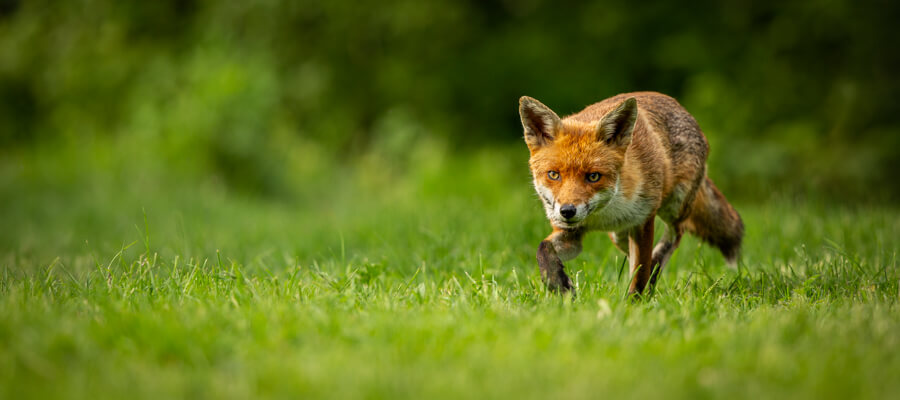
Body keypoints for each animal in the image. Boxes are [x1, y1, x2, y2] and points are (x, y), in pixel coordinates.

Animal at [520, 91, 744, 296]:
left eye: (593, 176)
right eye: (554, 174)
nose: (567, 211)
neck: (603, 214)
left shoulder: (642, 222)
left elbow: (640, 273)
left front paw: (634, 304)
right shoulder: (572, 234)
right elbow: (543, 249)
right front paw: (558, 284)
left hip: (675, 206)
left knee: (674, 236)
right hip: (618, 234)